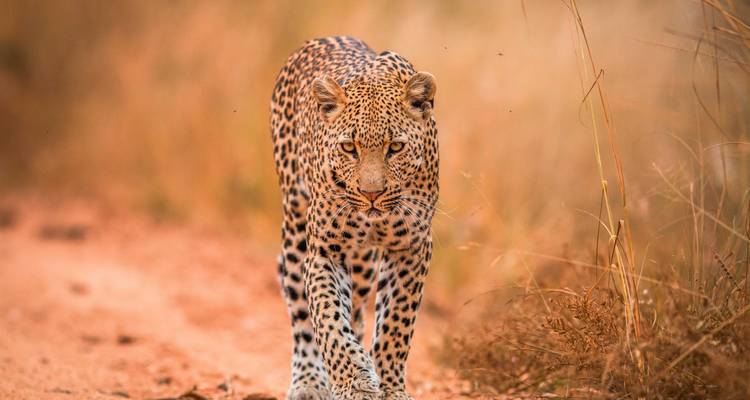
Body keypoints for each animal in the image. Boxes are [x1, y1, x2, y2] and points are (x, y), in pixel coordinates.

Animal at [270, 35, 438, 400]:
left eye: (395, 147)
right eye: (349, 148)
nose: (371, 193)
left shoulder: (412, 247)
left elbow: (395, 324)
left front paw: (390, 387)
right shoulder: (325, 250)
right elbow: (328, 318)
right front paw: (353, 382)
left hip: (362, 264)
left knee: (359, 311)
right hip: (295, 226)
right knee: (301, 313)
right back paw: (309, 381)